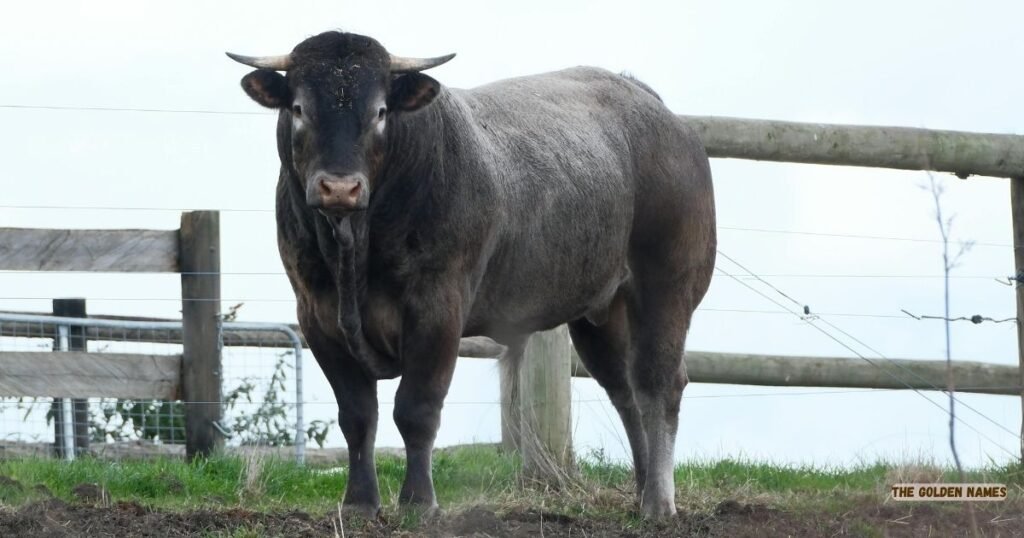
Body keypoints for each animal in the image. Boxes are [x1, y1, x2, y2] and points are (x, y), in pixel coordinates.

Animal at [227, 30, 715, 519]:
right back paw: (642, 488)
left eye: (380, 111)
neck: (355, 249)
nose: (340, 188)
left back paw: (659, 501)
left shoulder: (438, 309)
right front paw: (360, 503)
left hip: (667, 286)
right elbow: (358, 415)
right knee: (625, 391)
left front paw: (419, 502)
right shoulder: (317, 316)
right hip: (601, 313)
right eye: (299, 108)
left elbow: (416, 410)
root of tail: (654, 108)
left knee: (658, 384)